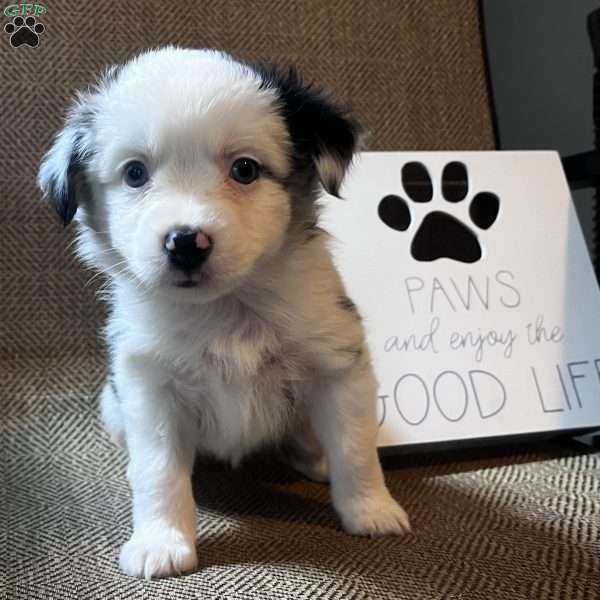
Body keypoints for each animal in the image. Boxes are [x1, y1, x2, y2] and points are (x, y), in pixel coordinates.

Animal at [39, 48, 410, 580]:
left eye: (245, 169)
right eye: (135, 174)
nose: (185, 242)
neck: (226, 311)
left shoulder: (338, 364)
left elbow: (355, 448)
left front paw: (370, 510)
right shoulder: (148, 385)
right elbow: (157, 470)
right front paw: (160, 540)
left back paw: (313, 459)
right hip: (112, 404)